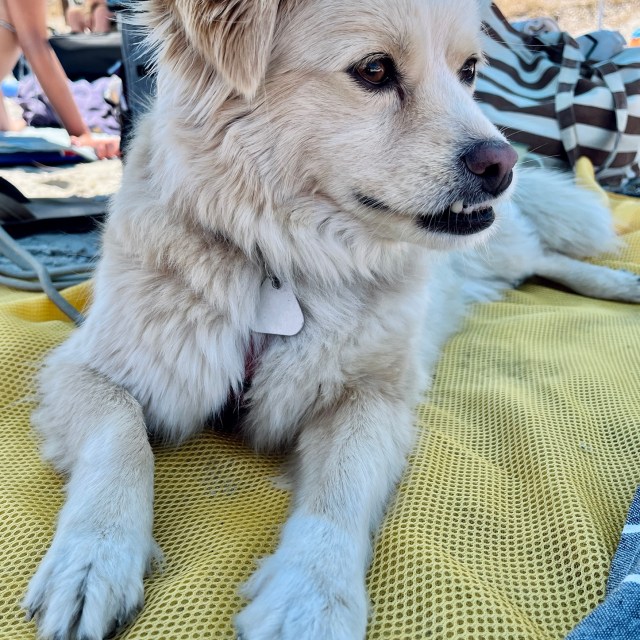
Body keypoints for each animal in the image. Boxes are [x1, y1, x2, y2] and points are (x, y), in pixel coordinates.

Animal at [23, 0, 640, 638]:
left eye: (469, 70)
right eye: (374, 70)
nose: (503, 164)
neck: (281, 259)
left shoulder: (372, 396)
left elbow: (342, 487)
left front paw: (310, 596)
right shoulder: (85, 366)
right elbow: (120, 435)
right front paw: (95, 555)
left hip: (499, 245)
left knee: (547, 256)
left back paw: (622, 285)